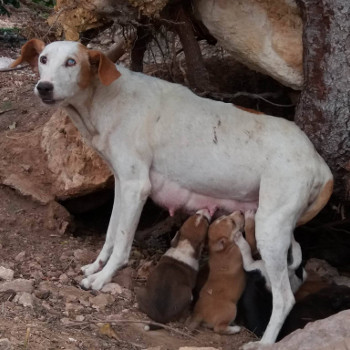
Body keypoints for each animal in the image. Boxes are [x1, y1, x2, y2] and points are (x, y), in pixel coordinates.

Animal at [11, 39, 334, 346]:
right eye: (43, 59)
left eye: (71, 62)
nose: (44, 87)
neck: (106, 96)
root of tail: (320, 163)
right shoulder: (122, 184)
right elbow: (111, 233)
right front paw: (95, 267)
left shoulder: (137, 187)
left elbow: (122, 244)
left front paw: (102, 278)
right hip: (279, 229)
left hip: (270, 230)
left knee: (284, 299)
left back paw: (265, 342)